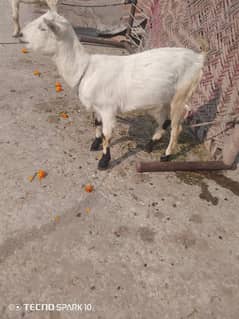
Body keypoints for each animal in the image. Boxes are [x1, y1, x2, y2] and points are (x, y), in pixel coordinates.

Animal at [20, 10, 207, 170]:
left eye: (43, 28)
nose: (20, 34)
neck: (85, 69)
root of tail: (198, 58)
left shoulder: (108, 109)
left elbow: (107, 134)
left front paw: (104, 161)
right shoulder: (96, 108)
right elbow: (97, 125)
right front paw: (94, 144)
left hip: (181, 95)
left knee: (176, 127)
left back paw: (166, 156)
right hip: (161, 100)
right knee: (165, 121)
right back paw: (149, 145)